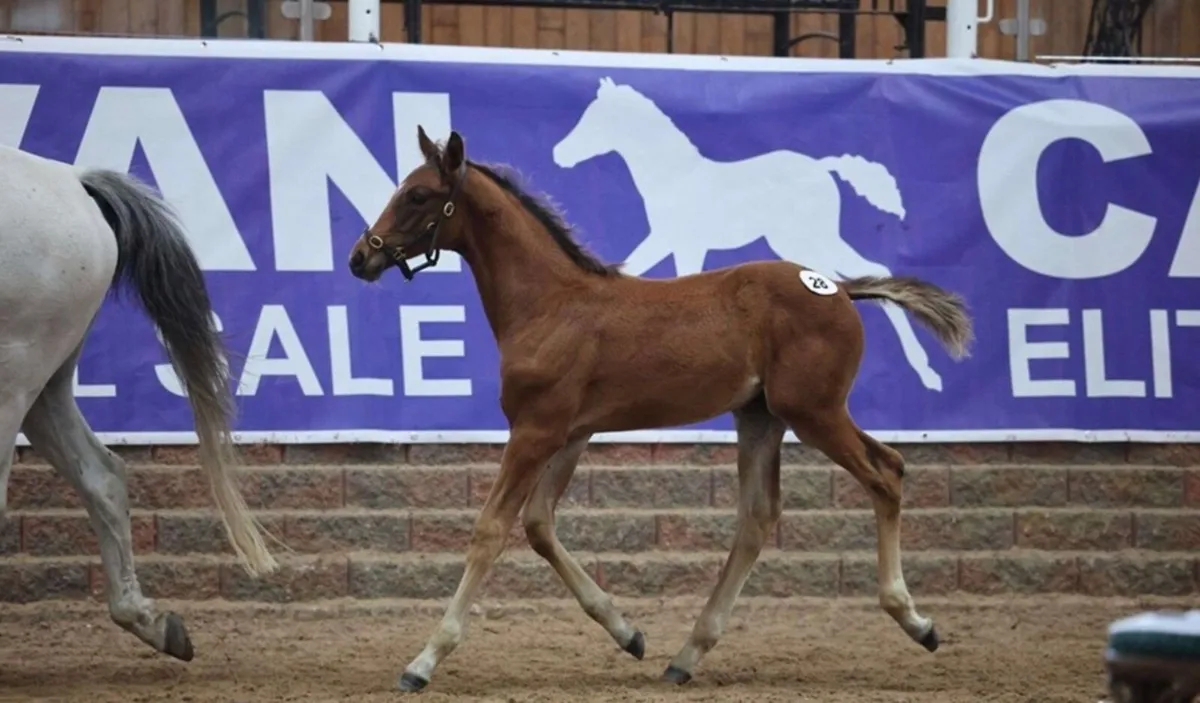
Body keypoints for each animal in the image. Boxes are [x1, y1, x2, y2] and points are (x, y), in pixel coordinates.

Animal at [347, 127, 973, 692]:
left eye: (418, 195)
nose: (359, 257)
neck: (551, 304)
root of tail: (839, 289)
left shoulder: (535, 430)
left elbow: (491, 528)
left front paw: (424, 660)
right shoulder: (571, 433)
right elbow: (539, 525)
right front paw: (629, 634)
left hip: (814, 411)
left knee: (885, 472)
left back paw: (916, 621)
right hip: (762, 417)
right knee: (759, 516)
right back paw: (686, 655)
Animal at [552, 77, 946, 392]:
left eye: (596, 118)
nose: (559, 154)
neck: (673, 177)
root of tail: (821, 166)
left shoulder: (682, 241)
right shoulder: (668, 240)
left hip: (805, 240)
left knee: (869, 273)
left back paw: (927, 371)